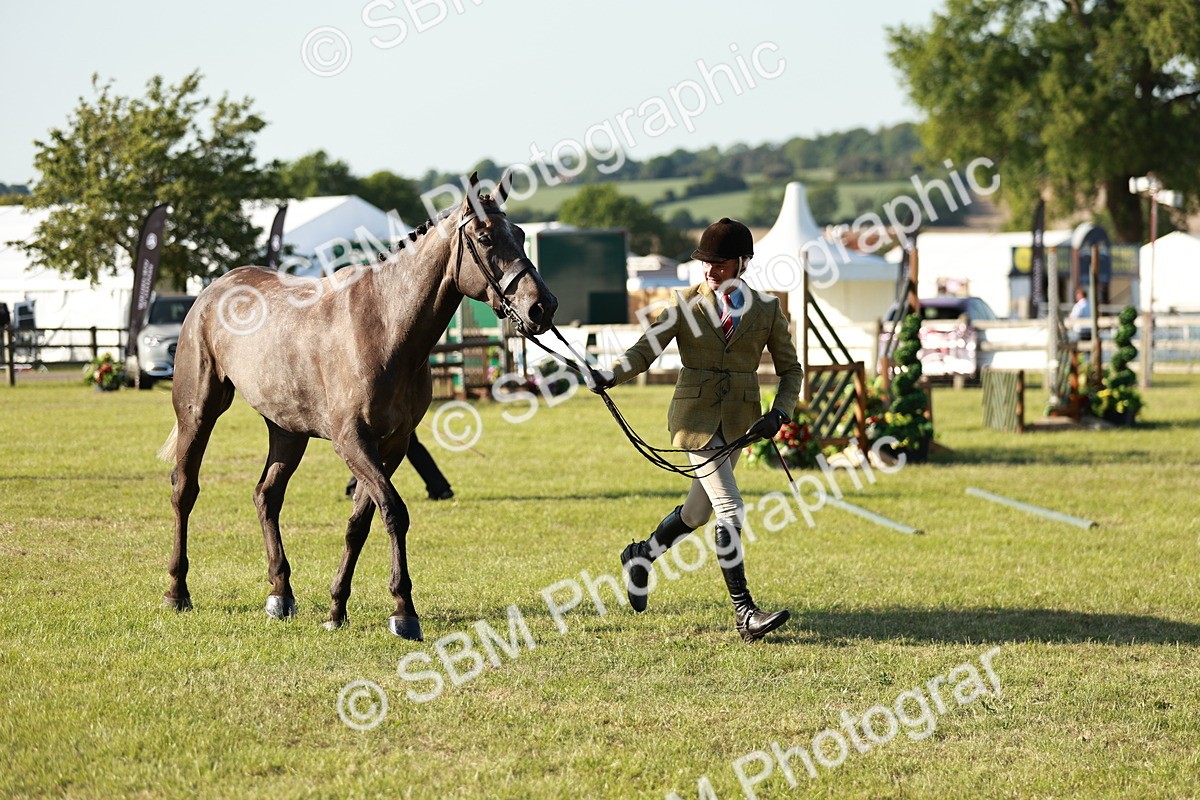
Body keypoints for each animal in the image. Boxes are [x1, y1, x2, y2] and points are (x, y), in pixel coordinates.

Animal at [156, 172, 557, 640]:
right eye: (486, 237)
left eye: (522, 235)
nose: (542, 306)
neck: (386, 326)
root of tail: (212, 290)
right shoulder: (352, 442)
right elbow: (394, 513)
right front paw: (403, 611)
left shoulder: (392, 446)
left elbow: (360, 523)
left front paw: (337, 607)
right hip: (198, 413)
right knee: (185, 490)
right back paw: (177, 591)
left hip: (287, 431)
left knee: (266, 496)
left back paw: (280, 593)